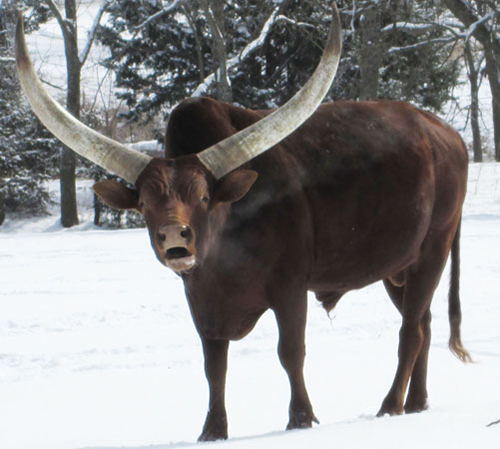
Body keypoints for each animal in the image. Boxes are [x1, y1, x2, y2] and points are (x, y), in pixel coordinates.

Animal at [15, 4, 468, 440]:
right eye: (143, 202)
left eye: (202, 196)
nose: (174, 236)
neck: (224, 253)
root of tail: (446, 133)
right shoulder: (200, 300)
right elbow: (214, 365)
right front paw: (212, 430)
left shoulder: (290, 287)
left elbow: (291, 352)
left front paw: (301, 419)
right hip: (398, 268)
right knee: (424, 324)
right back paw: (417, 403)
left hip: (433, 249)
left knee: (411, 331)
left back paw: (390, 406)